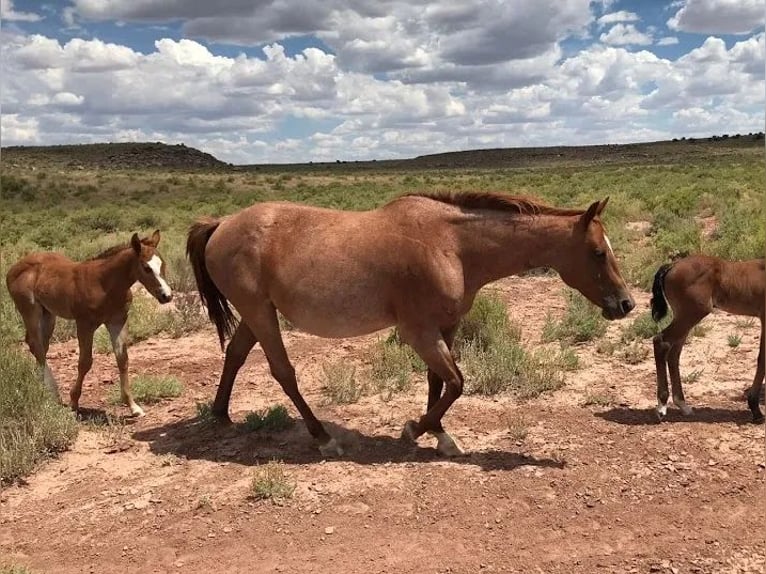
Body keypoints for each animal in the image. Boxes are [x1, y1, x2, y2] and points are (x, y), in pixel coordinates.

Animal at [189, 194, 640, 460]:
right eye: (598, 253)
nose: (627, 304)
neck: (453, 247)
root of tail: (221, 224)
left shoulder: (445, 327)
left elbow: (437, 383)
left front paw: (439, 433)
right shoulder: (419, 332)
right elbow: (457, 382)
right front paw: (414, 430)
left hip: (257, 314)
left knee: (235, 355)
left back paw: (221, 414)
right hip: (261, 314)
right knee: (283, 372)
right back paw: (323, 437)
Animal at [652, 255, 764, 424]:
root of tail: (673, 265)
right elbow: (762, 359)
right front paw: (756, 411)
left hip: (684, 315)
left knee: (674, 353)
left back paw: (682, 404)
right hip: (693, 313)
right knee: (661, 341)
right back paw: (662, 406)